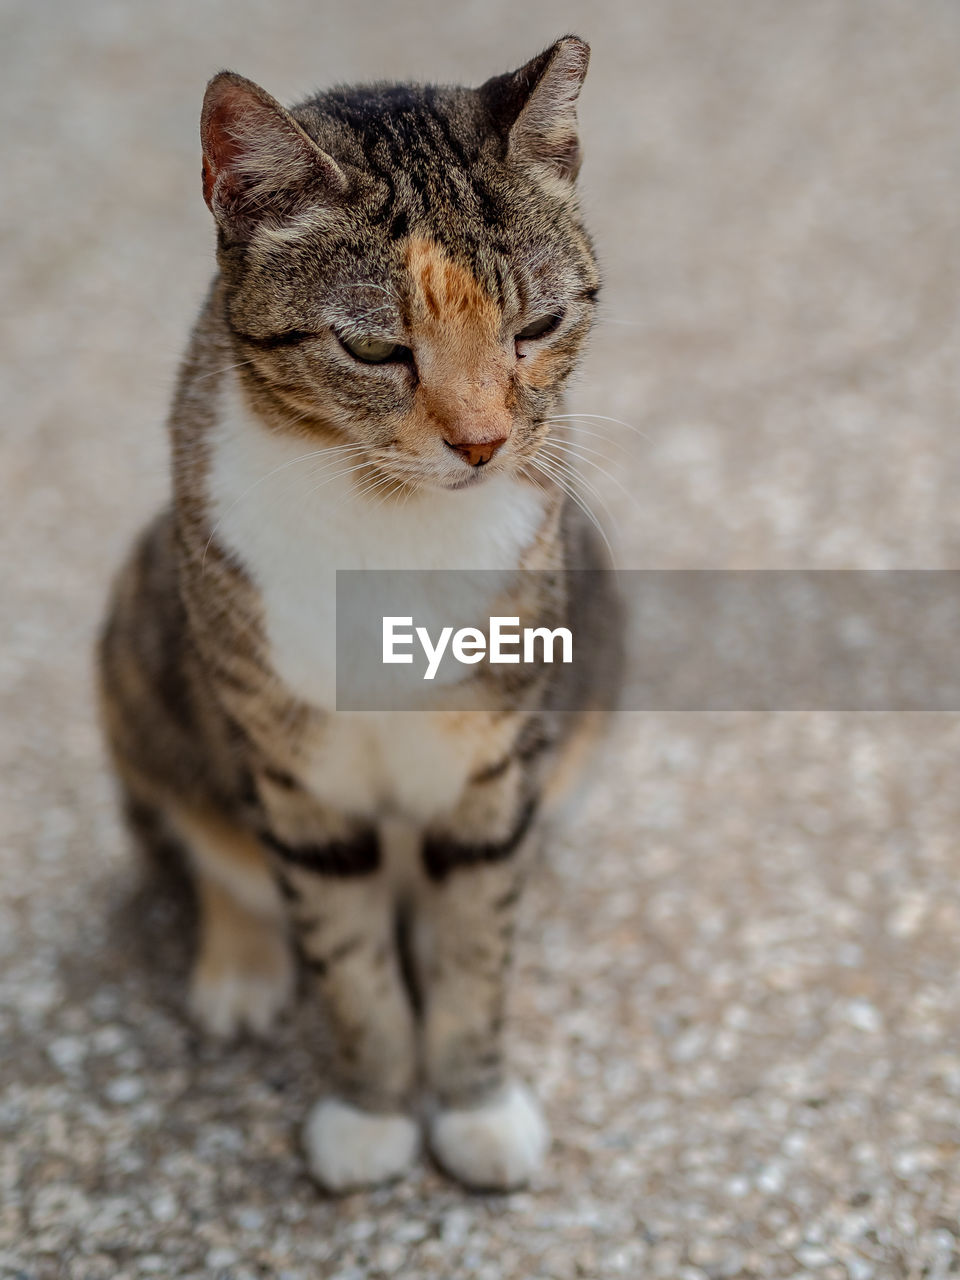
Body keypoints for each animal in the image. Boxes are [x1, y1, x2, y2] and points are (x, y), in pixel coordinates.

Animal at [97, 35, 624, 1192]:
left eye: (537, 327)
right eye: (377, 350)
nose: (482, 444)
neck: (391, 519)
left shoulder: (495, 756)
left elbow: (477, 944)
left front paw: (473, 1102)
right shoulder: (297, 773)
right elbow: (346, 958)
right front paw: (373, 1107)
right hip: (138, 641)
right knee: (211, 849)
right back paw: (241, 965)